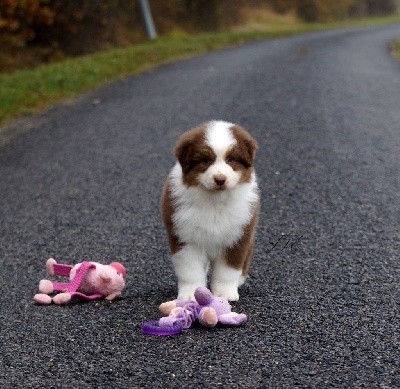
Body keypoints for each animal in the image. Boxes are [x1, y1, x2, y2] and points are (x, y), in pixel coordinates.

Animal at [161, 119, 260, 302]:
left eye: (230, 159)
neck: (215, 201)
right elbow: (190, 270)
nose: (220, 179)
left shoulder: (237, 237)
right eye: (205, 160)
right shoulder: (185, 237)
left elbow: (227, 271)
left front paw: (225, 294)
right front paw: (191, 294)